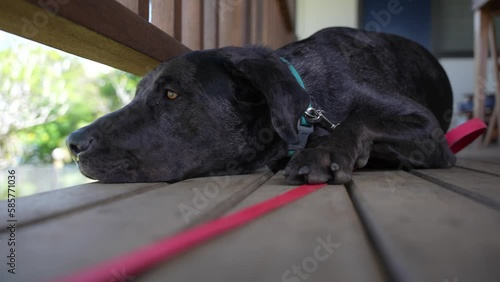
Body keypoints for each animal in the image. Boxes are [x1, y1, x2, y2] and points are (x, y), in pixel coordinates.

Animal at [66, 27, 458, 184]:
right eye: (136, 94)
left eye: (172, 95)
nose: (73, 143)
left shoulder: (427, 130)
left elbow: (360, 119)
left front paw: (324, 152)